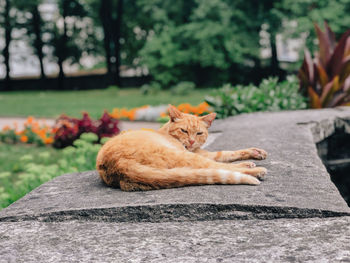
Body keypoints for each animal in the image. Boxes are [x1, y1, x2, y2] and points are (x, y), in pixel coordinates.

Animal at [96, 104, 268, 191]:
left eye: (199, 133)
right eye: (184, 130)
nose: (191, 141)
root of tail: (118, 164)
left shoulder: (202, 152)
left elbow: (227, 153)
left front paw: (255, 152)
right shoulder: (196, 153)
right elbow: (224, 157)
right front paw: (250, 160)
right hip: (182, 156)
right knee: (219, 167)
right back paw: (255, 170)